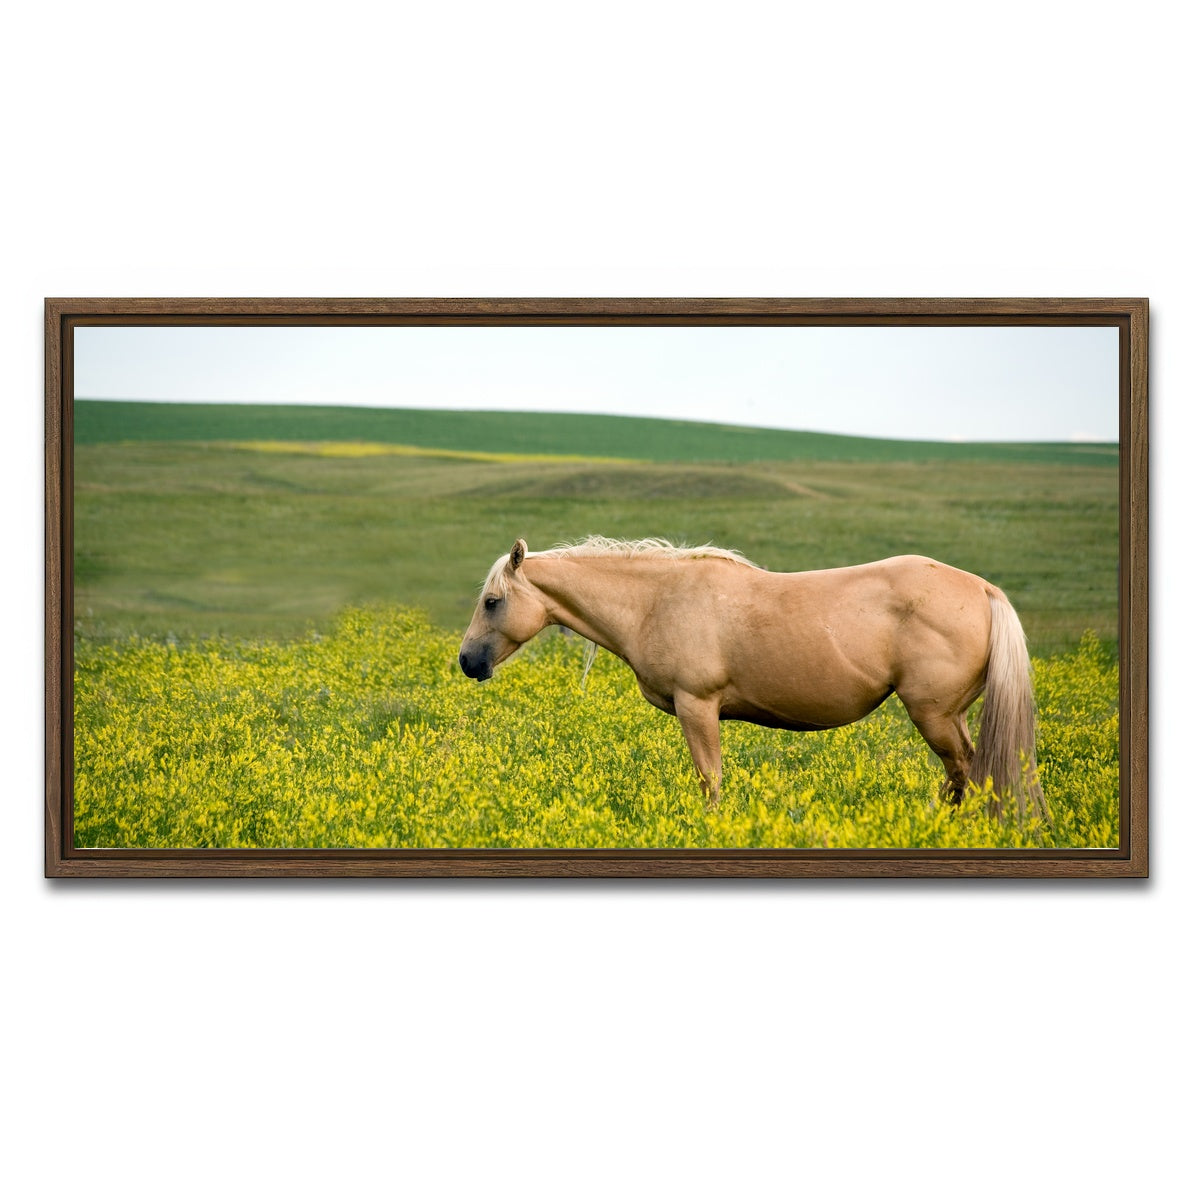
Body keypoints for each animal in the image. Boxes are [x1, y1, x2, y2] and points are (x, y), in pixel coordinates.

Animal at [458, 536, 1046, 822]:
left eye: (492, 602)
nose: (467, 662)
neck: (656, 600)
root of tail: (983, 589)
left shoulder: (698, 707)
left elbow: (710, 781)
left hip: (934, 715)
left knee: (966, 771)